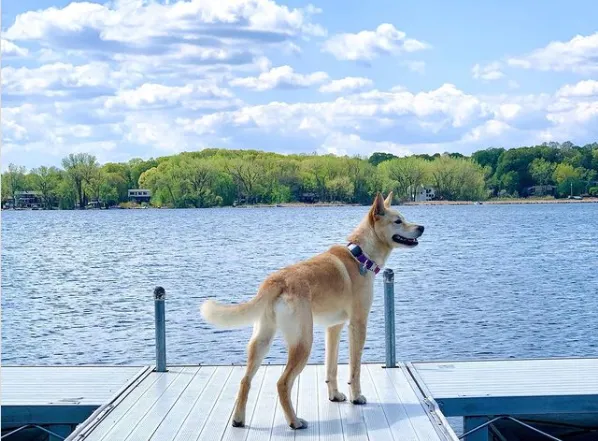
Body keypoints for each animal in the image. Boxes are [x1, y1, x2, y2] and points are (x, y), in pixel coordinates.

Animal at [202, 191, 426, 428]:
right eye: (398, 221)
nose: (421, 227)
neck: (360, 255)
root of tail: (276, 280)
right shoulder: (358, 324)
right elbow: (354, 368)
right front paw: (356, 397)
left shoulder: (334, 328)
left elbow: (331, 367)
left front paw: (334, 395)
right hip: (303, 342)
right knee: (282, 383)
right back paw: (294, 421)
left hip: (261, 340)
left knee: (245, 380)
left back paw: (238, 419)